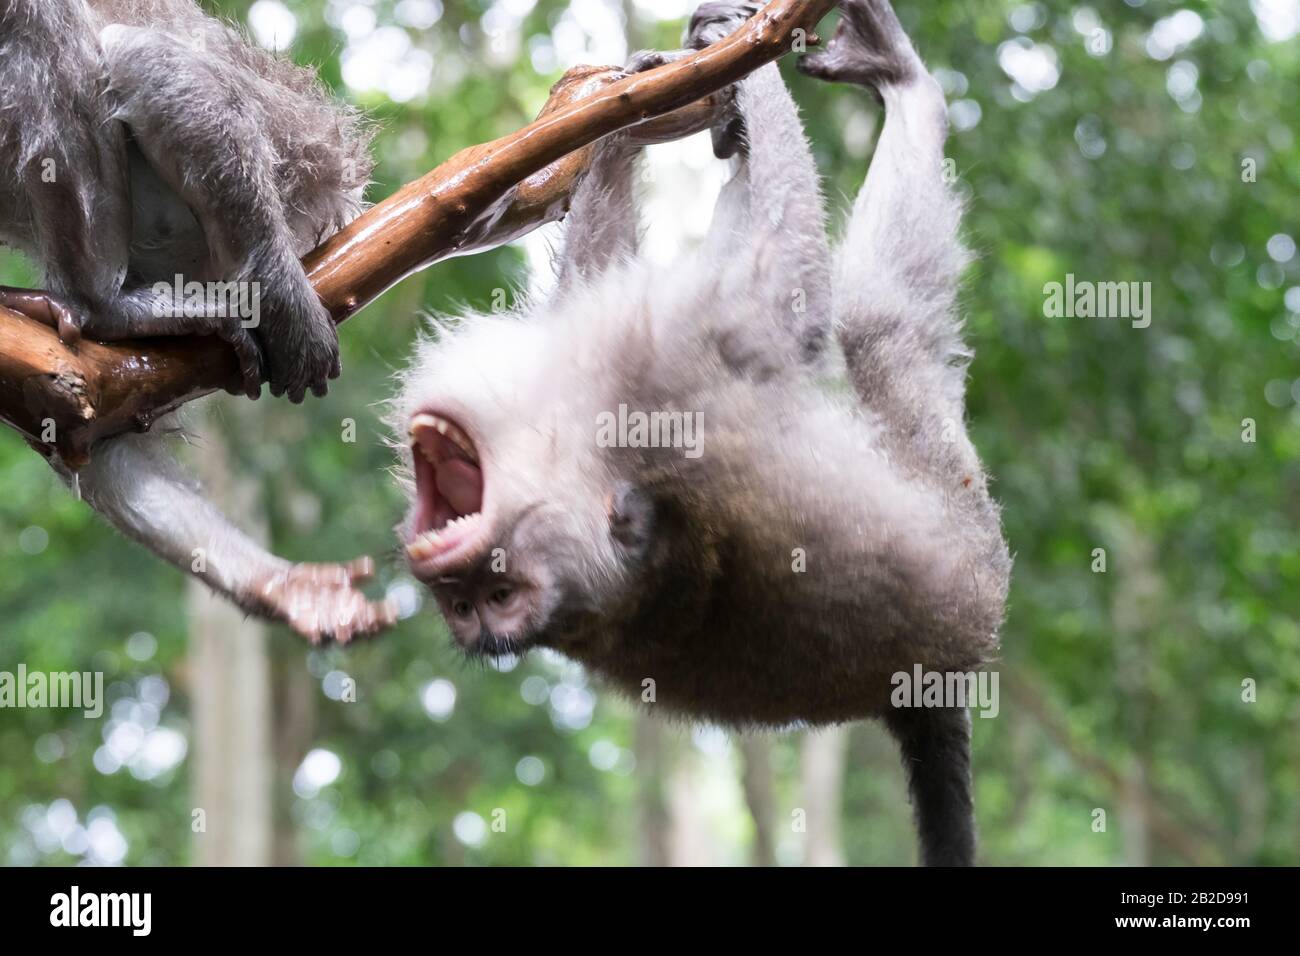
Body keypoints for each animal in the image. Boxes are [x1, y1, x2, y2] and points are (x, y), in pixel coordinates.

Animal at [1, 1, 395, 642]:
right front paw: (285, 586)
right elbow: (97, 433)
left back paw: (103, 302)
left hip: (281, 158)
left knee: (127, 51)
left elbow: (145, 58)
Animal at [395, 0, 1013, 868]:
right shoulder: (668, 385)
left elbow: (603, 277)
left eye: (493, 594)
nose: (453, 583)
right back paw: (905, 83)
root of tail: (933, 681)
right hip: (968, 532)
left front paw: (631, 125)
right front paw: (749, 72)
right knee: (882, 319)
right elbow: (786, 308)